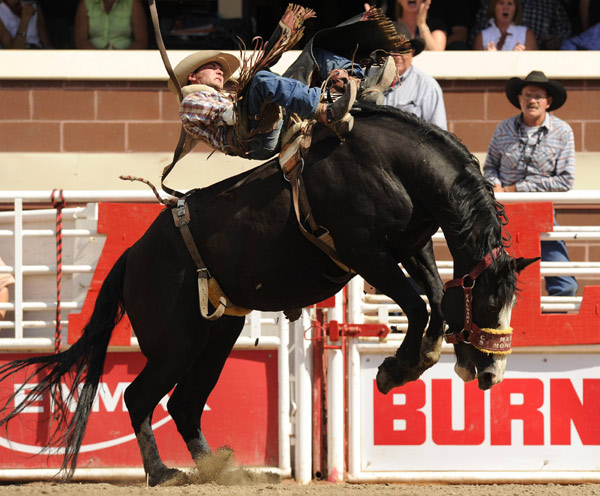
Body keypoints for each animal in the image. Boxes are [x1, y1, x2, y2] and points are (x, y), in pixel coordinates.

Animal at [0, 104, 536, 484]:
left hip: (217, 335)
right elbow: (420, 305)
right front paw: (395, 369)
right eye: (491, 302)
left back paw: (218, 471)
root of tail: (133, 254)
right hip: (176, 345)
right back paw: (161, 473)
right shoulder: (369, 255)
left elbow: (435, 298)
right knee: (139, 396)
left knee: (183, 406)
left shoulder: (412, 246)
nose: (492, 373)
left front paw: (420, 360)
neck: (394, 165)